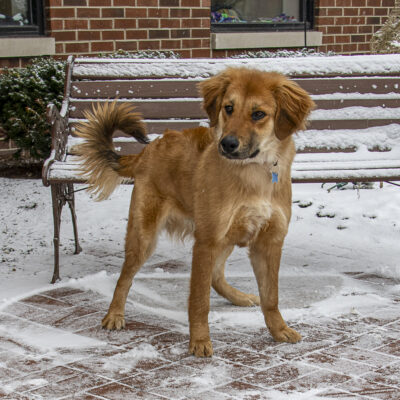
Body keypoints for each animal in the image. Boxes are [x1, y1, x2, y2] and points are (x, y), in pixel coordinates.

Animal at [74, 67, 312, 358]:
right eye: (228, 108)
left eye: (258, 114)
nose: (227, 144)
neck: (254, 172)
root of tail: (148, 149)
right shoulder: (206, 241)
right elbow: (199, 299)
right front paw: (199, 340)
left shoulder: (269, 241)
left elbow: (271, 296)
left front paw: (279, 330)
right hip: (145, 235)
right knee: (125, 277)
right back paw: (114, 314)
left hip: (225, 237)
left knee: (217, 276)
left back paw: (239, 297)